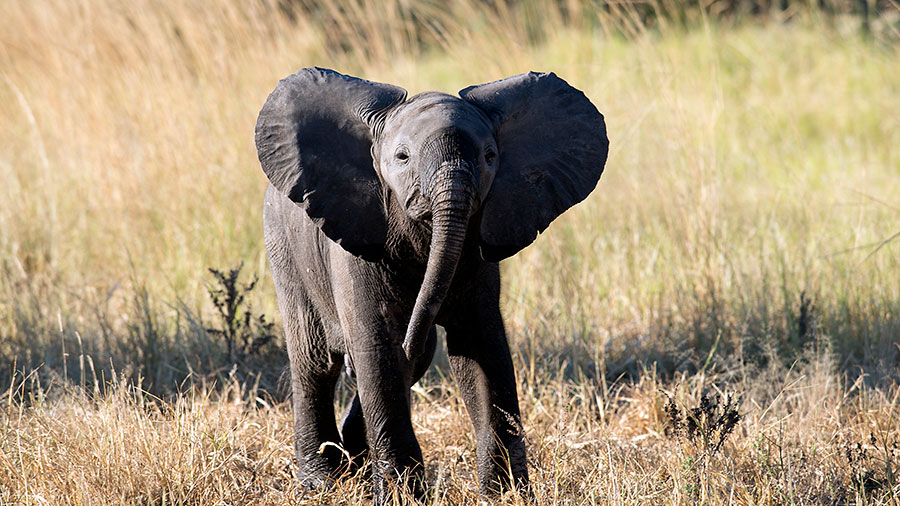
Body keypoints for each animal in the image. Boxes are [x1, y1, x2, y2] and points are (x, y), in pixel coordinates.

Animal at [256, 67, 608, 502]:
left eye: (490, 156)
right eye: (402, 157)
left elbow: (481, 349)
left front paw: (505, 495)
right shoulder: (358, 245)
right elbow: (379, 349)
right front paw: (401, 498)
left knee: (415, 358)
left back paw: (354, 465)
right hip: (282, 246)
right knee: (315, 360)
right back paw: (321, 481)